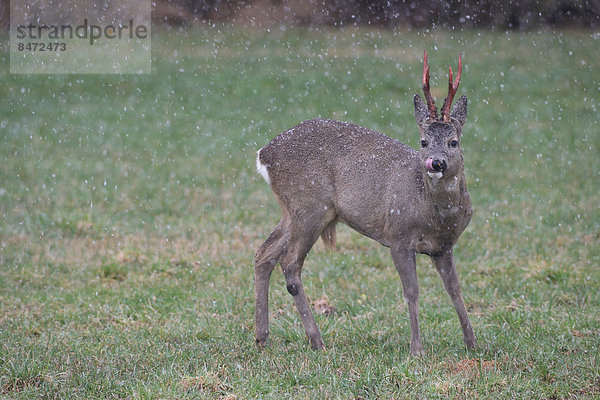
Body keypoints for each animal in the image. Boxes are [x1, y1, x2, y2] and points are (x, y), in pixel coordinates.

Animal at [255, 51, 476, 354]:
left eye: (454, 142)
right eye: (423, 141)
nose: (436, 162)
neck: (435, 215)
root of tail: (264, 154)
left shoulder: (443, 247)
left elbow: (454, 289)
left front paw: (472, 342)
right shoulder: (398, 236)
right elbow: (412, 291)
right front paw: (416, 349)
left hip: (293, 210)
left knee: (264, 253)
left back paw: (262, 337)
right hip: (310, 206)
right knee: (289, 262)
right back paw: (316, 339)